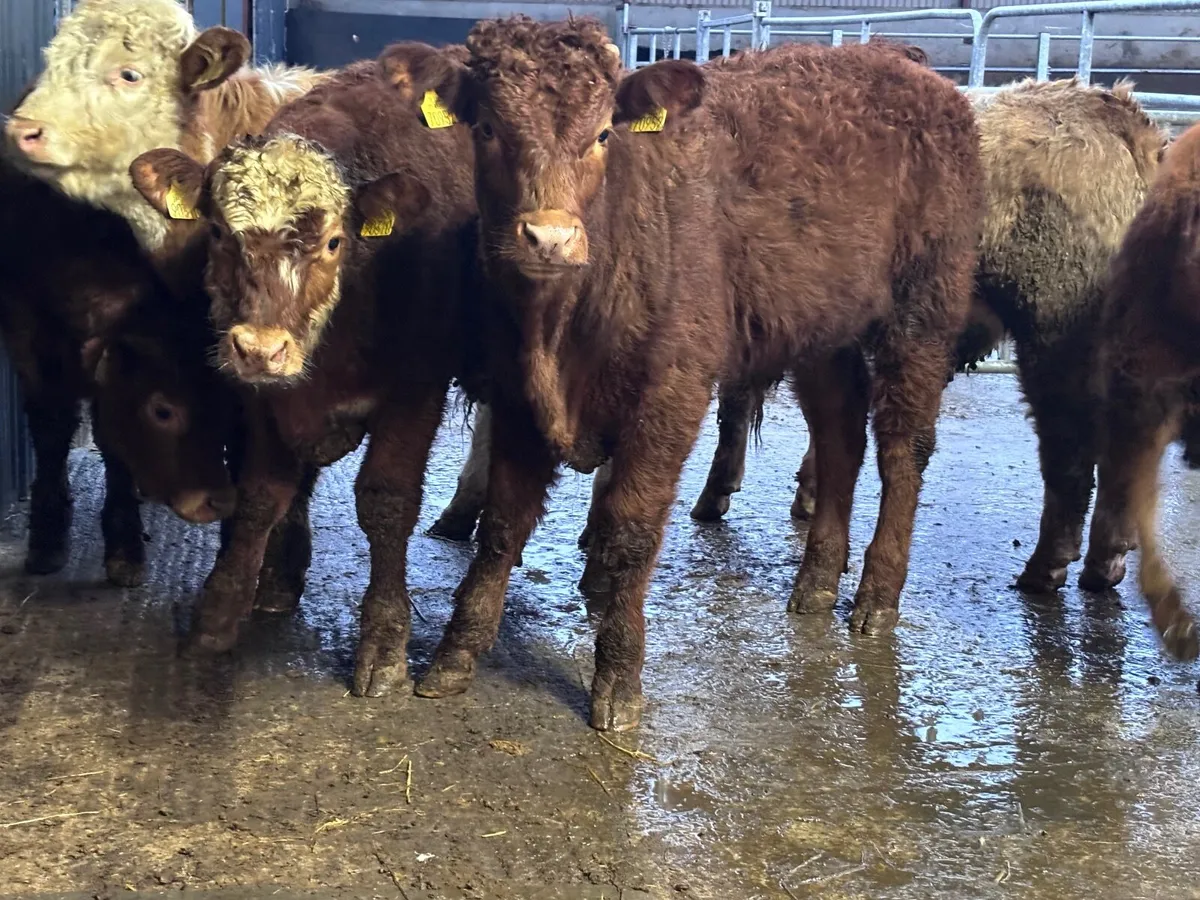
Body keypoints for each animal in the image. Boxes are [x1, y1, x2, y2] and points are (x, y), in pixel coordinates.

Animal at [127, 48, 479, 696]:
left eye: (336, 242)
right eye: (218, 232)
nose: (261, 348)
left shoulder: (417, 390)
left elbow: (387, 499)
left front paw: (384, 641)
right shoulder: (262, 399)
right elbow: (261, 495)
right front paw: (220, 613)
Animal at [396, 17, 982, 731]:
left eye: (603, 134)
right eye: (485, 128)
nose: (549, 239)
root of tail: (906, 64)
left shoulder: (671, 392)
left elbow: (629, 530)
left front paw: (618, 681)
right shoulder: (514, 394)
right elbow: (503, 523)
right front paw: (455, 654)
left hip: (922, 309)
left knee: (902, 449)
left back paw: (875, 595)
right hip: (823, 331)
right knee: (841, 433)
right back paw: (817, 581)